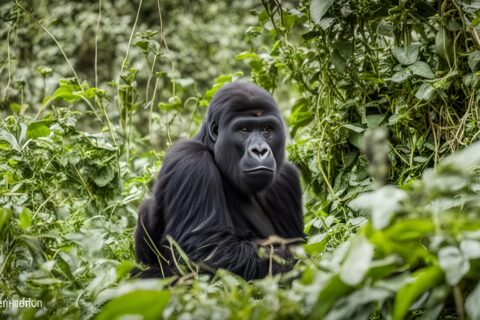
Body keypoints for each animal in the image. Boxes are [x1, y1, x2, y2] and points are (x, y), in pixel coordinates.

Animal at [134, 80, 304, 280]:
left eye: (266, 129)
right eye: (244, 130)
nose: (260, 150)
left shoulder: (286, 178)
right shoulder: (190, 159)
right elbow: (207, 250)